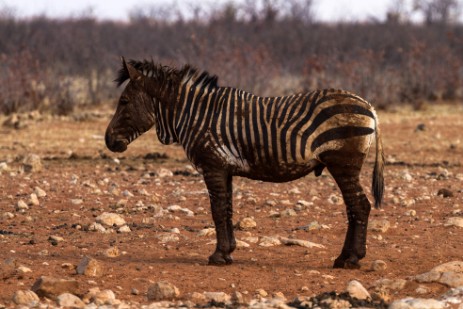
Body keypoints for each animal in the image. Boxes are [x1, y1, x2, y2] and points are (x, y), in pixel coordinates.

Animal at [105, 57, 384, 268]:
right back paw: (345, 257)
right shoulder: (224, 168)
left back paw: (350, 259)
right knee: (355, 207)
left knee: (359, 206)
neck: (195, 114)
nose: (108, 141)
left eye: (124, 102)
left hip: (343, 164)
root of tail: (369, 105)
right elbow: (227, 209)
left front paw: (218, 256)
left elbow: (217, 210)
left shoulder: (212, 166)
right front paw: (228, 252)